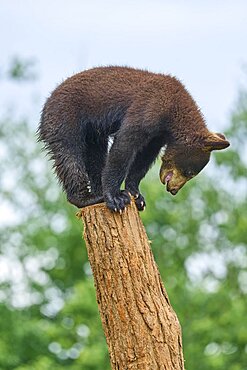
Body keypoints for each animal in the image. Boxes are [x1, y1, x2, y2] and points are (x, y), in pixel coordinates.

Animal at [38, 65, 230, 212]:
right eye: (190, 173)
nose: (174, 190)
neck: (173, 115)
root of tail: (48, 99)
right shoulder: (149, 108)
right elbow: (125, 146)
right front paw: (116, 198)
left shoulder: (157, 135)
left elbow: (144, 158)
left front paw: (137, 196)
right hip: (65, 117)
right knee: (69, 156)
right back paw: (86, 198)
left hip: (92, 134)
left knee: (95, 157)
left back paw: (98, 192)